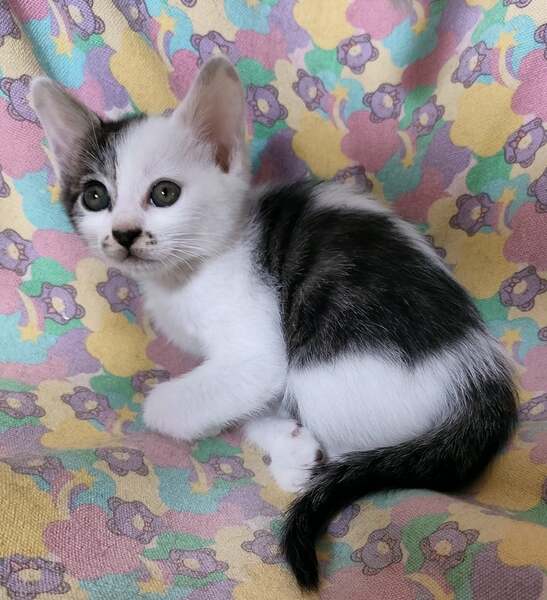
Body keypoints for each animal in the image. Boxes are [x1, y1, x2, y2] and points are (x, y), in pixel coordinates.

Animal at [30, 56, 518, 590]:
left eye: (164, 193)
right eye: (95, 197)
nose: (124, 234)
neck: (189, 273)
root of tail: (478, 381)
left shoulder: (257, 344)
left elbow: (184, 402)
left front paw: (273, 439)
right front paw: (280, 435)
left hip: (326, 370)